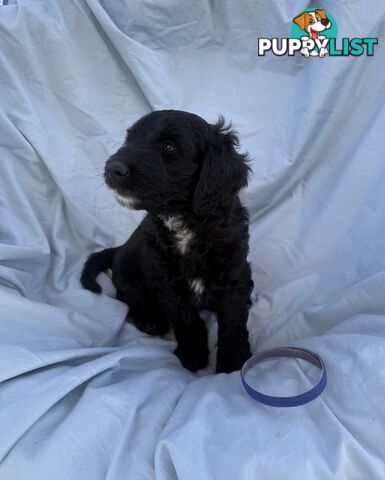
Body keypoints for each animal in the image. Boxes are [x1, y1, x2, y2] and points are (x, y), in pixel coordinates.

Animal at [81, 110, 252, 374]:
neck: (184, 220)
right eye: (129, 139)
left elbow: (233, 320)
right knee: (127, 296)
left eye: (168, 147)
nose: (112, 168)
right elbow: (187, 320)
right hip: (130, 276)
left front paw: (233, 363)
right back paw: (149, 320)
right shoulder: (166, 279)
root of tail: (119, 250)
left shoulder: (234, 273)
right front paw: (193, 356)